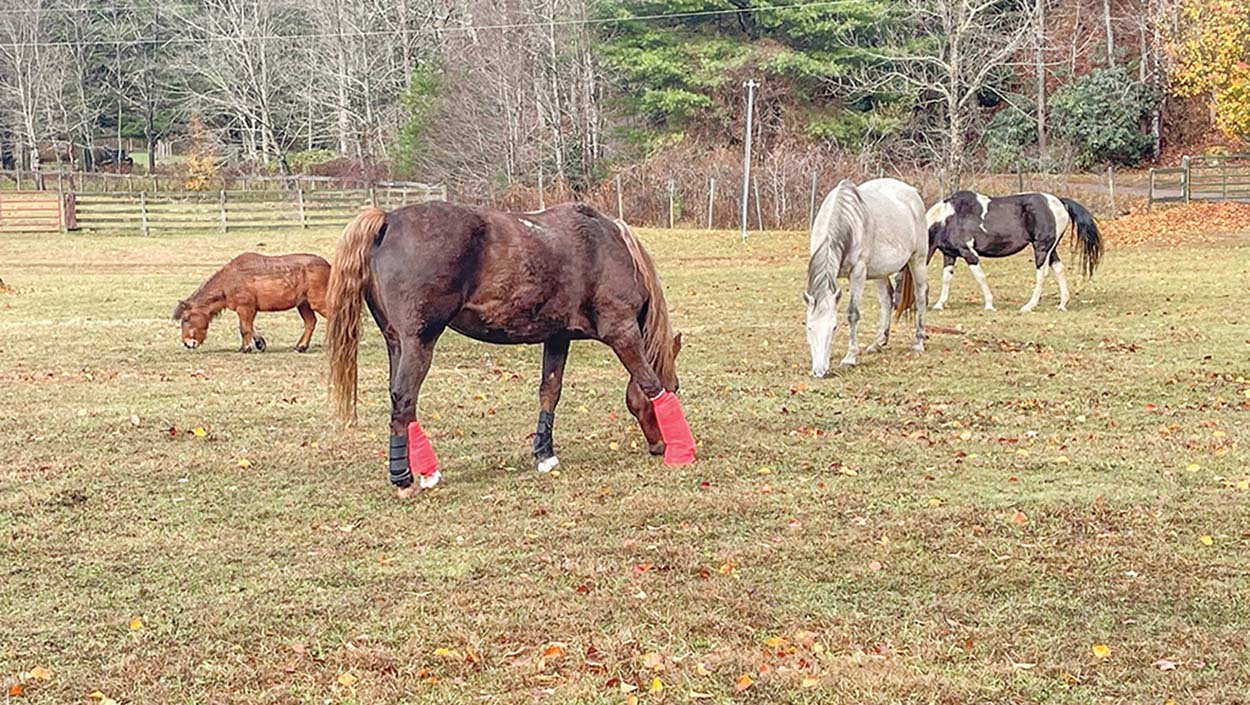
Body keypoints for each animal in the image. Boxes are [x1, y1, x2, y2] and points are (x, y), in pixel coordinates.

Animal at [173, 252, 330, 352]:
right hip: (304, 304)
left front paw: (245, 348)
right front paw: (260, 343)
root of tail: (328, 266)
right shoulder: (249, 309)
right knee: (310, 322)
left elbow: (244, 329)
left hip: (317, 302)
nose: (187, 343)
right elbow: (249, 327)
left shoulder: (244, 307)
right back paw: (301, 347)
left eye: (186, 319)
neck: (230, 279)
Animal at [325, 202, 696, 497]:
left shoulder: (557, 337)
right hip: (418, 342)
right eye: (677, 387)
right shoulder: (622, 331)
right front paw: (682, 451)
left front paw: (544, 454)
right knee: (405, 400)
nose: (658, 446)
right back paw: (406, 478)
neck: (606, 245)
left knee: (399, 400)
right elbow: (649, 383)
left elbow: (550, 392)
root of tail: (388, 219)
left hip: (396, 343)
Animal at [803, 177, 928, 377]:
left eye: (834, 327)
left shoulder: (858, 273)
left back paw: (919, 342)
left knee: (921, 296)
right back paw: (878, 343)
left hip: (918, 260)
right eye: (809, 327)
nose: (820, 372)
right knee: (886, 299)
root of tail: (913, 193)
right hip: (879, 271)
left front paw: (849, 358)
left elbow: (852, 314)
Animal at [925, 191, 1103, 312]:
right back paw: (1062, 304)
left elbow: (980, 277)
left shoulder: (969, 254)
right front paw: (939, 304)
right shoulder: (949, 255)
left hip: (1042, 248)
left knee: (1042, 274)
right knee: (1059, 269)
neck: (948, 218)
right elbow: (946, 279)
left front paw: (989, 305)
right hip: (1051, 250)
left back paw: (1029, 306)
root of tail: (1059, 202)